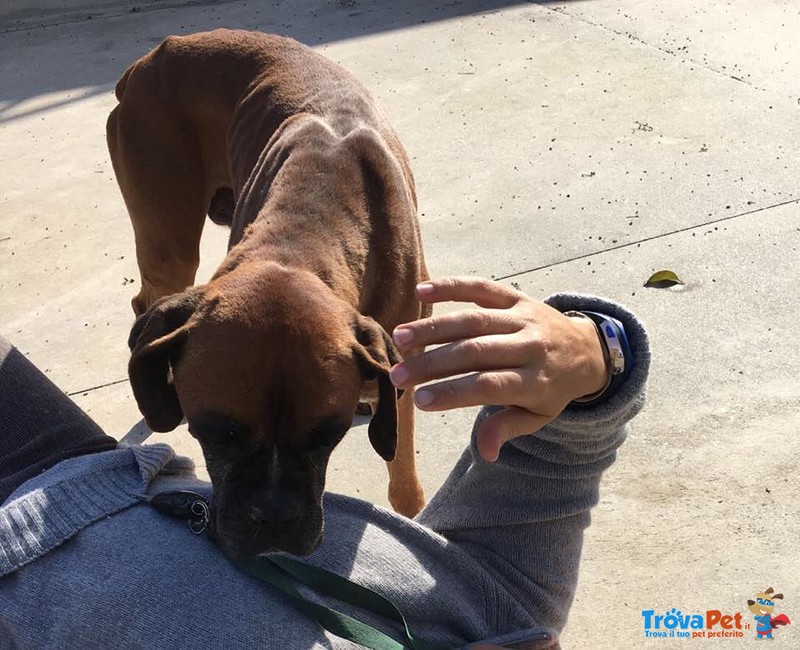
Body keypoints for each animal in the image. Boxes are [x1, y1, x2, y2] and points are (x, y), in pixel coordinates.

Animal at [111, 29, 432, 556]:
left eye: (326, 435)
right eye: (217, 433)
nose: (274, 517)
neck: (304, 228)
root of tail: (147, 61)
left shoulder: (402, 374)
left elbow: (405, 487)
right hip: (167, 243)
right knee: (146, 299)